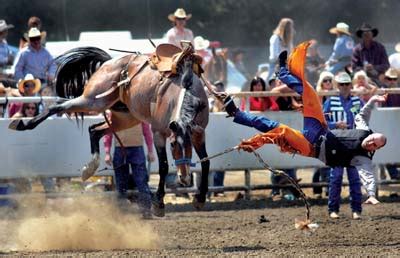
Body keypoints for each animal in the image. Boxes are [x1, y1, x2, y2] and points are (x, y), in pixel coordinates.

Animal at [8, 45, 209, 216]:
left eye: (189, 146)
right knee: (57, 106)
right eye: (173, 144)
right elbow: (164, 166)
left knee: (94, 130)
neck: (184, 90)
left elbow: (206, 162)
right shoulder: (159, 133)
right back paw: (22, 124)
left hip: (125, 117)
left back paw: (89, 168)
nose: (184, 178)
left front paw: (200, 199)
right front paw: (158, 204)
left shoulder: (199, 134)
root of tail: (109, 62)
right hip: (93, 100)